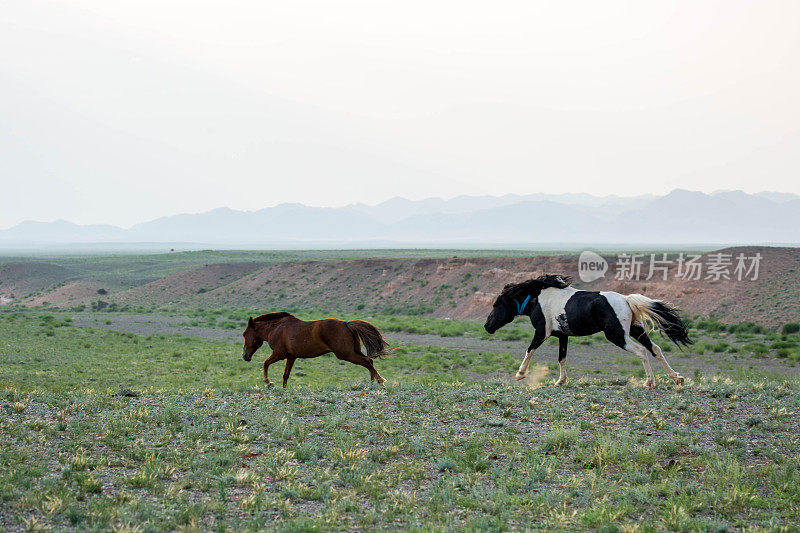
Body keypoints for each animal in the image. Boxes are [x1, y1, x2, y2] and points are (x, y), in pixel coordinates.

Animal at [241, 312, 390, 386]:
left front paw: (268, 382)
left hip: (346, 354)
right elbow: (285, 375)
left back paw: (380, 382)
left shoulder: (279, 354)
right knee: (369, 362)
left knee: (367, 362)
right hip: (354, 351)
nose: (245, 356)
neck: (276, 328)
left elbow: (265, 363)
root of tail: (347, 324)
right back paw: (372, 383)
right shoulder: (291, 357)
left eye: (244, 333)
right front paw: (283, 390)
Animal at [484, 274, 692, 386]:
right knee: (655, 349)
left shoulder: (542, 332)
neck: (537, 299)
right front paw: (560, 381)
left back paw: (649, 382)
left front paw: (520, 374)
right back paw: (677, 378)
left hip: (618, 335)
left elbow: (529, 350)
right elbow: (562, 358)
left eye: (495, 305)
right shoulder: (562, 335)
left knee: (642, 351)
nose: (487, 326)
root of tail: (626, 299)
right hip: (635, 330)